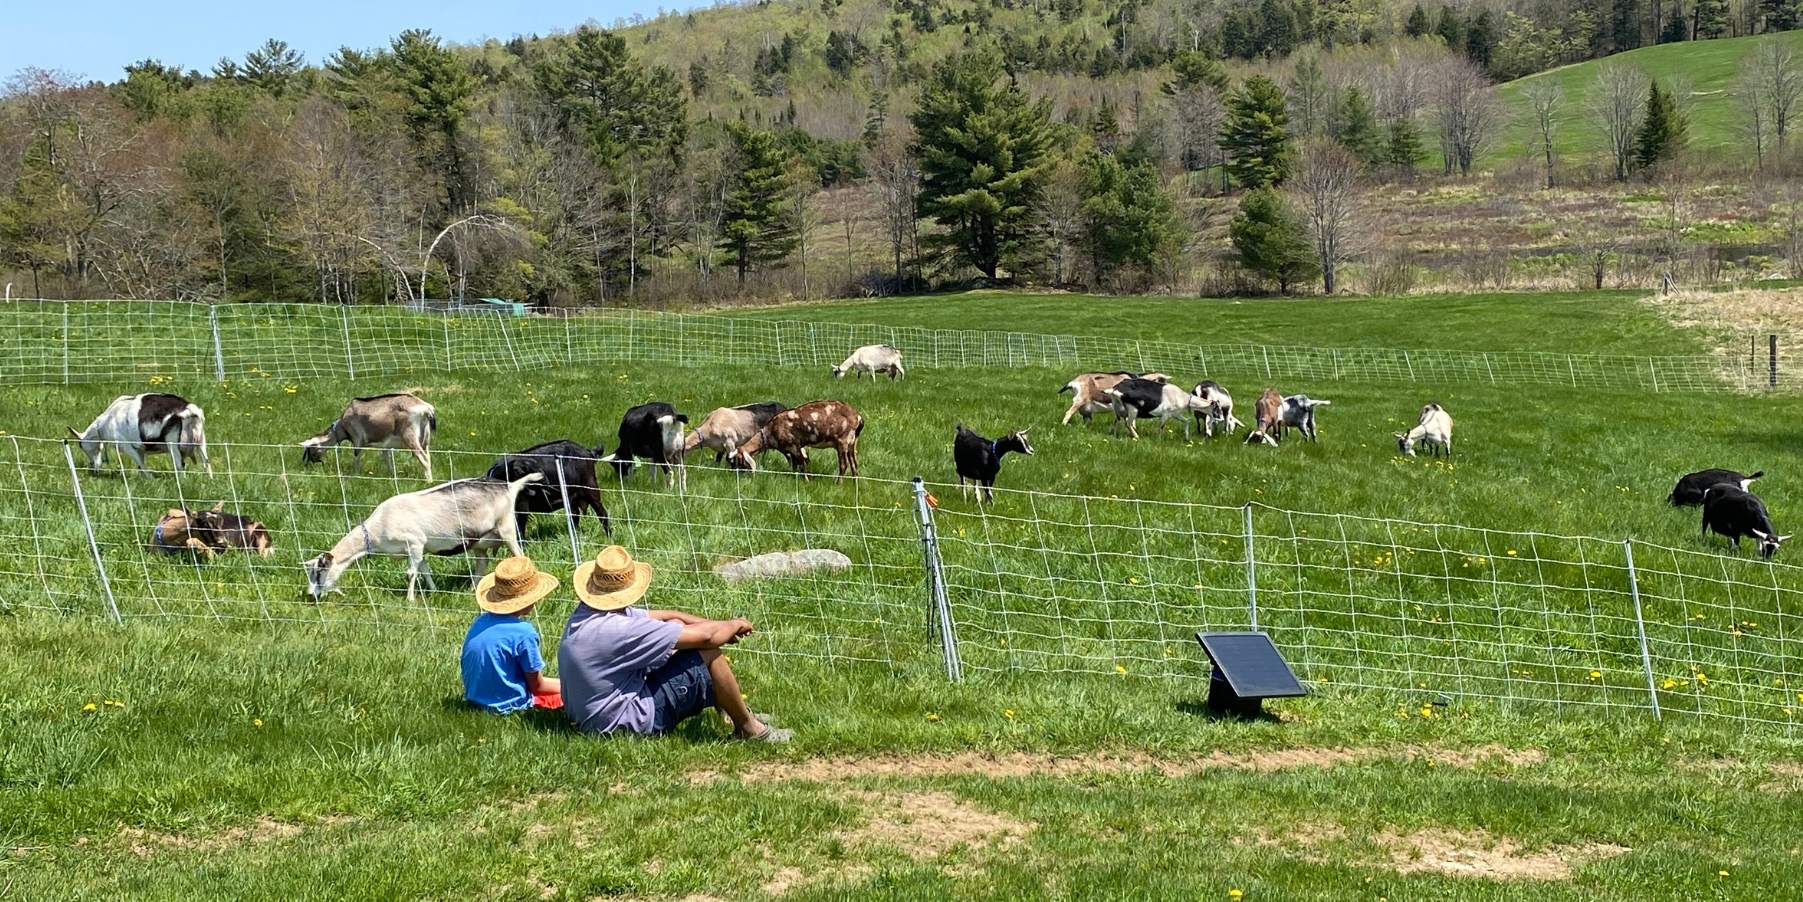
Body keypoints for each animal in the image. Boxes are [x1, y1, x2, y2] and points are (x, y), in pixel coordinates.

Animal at [68, 395, 212, 479]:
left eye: (81, 446)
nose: (92, 468)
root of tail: (189, 410)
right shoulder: (139, 447)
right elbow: (140, 463)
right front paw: (141, 478)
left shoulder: (125, 444)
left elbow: (139, 462)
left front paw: (150, 479)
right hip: (201, 439)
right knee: (206, 462)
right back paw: (209, 480)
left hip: (172, 441)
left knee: (179, 464)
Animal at [301, 393, 434, 483]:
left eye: (309, 448)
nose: (304, 463)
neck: (341, 426)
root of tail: (425, 408)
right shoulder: (385, 443)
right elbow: (386, 458)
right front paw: (391, 475)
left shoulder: (357, 438)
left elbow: (357, 457)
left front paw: (355, 475)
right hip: (425, 439)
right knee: (428, 455)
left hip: (410, 436)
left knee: (423, 458)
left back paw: (429, 481)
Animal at [304, 472, 540, 606]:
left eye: (319, 572)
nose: (310, 595)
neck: (378, 528)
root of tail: (510, 486)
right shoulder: (421, 549)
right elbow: (425, 569)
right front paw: (433, 591)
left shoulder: (415, 543)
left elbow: (410, 574)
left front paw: (410, 600)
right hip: (481, 541)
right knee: (482, 563)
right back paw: (472, 589)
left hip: (506, 528)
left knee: (520, 555)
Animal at [728, 402, 861, 483]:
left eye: (738, 461)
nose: (734, 475)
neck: (770, 432)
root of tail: (858, 417)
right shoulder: (790, 450)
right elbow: (794, 465)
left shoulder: (794, 446)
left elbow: (801, 465)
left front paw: (806, 481)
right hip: (852, 442)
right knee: (854, 464)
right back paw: (855, 482)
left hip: (843, 441)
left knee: (844, 465)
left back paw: (838, 483)